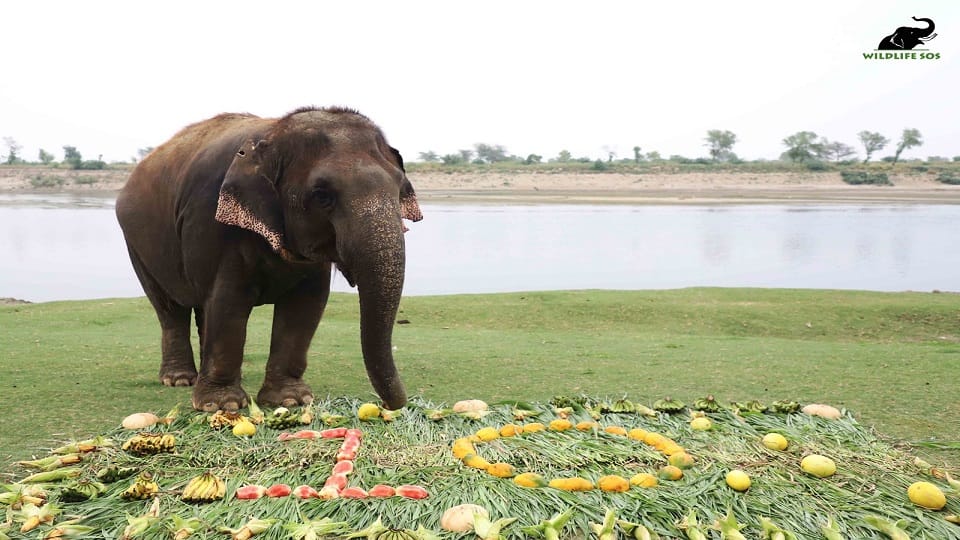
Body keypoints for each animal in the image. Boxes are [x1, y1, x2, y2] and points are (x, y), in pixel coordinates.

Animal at [116, 106, 423, 412]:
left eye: (400, 189)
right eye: (322, 196)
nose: (392, 404)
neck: (273, 132)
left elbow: (305, 306)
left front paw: (291, 400)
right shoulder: (212, 220)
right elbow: (228, 300)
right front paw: (222, 405)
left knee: (203, 307)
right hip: (137, 245)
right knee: (170, 308)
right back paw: (179, 380)